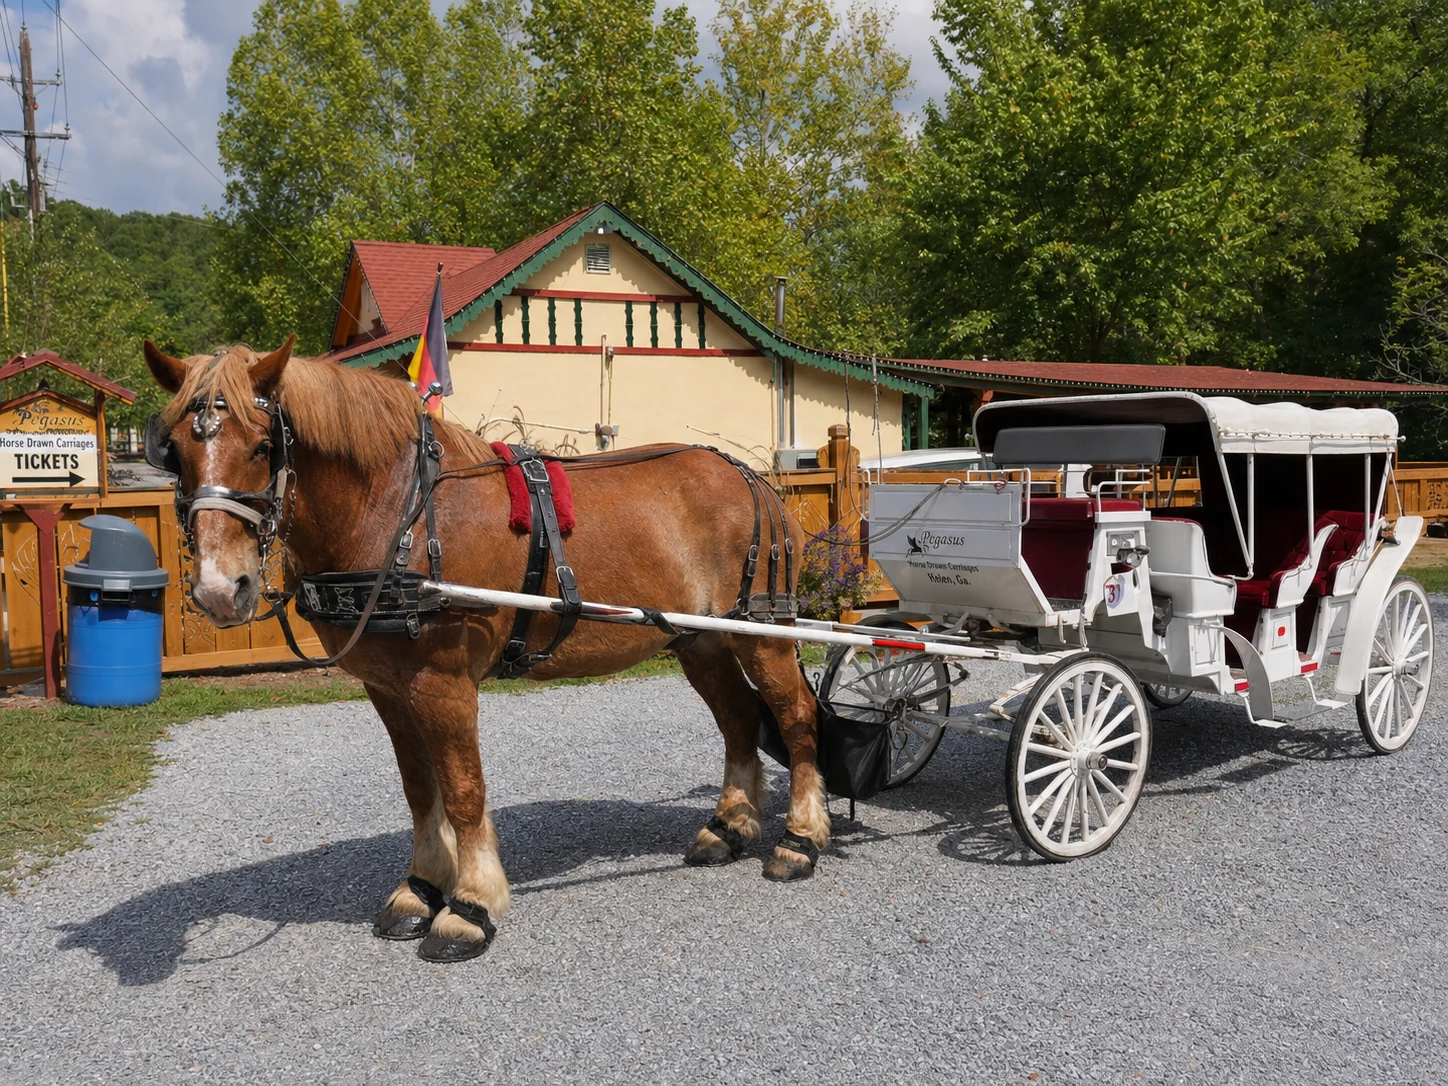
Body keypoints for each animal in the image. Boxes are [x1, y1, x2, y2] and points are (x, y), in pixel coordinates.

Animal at [141, 338, 828, 963]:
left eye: (263, 446)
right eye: (175, 453)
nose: (221, 589)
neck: (401, 513)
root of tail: (751, 478)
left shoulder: (443, 683)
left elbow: (463, 789)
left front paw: (469, 905)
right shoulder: (387, 689)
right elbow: (421, 788)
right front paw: (421, 889)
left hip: (761, 632)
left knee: (794, 717)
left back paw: (800, 838)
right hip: (699, 639)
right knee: (738, 718)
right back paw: (729, 826)